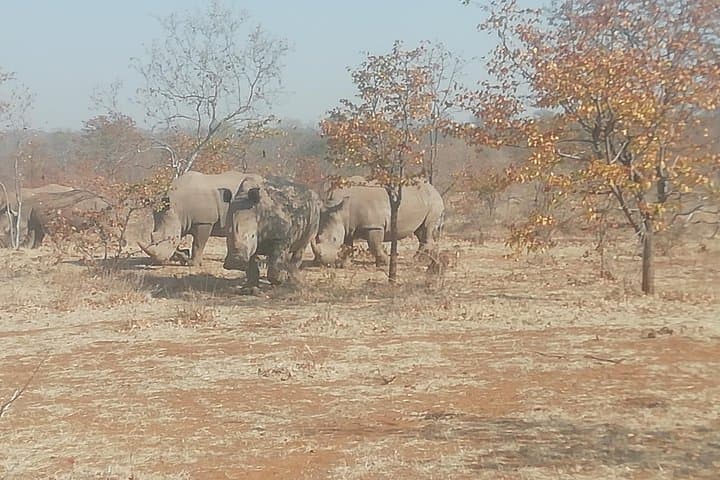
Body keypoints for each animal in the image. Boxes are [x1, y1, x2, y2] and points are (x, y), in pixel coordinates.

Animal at [312, 179, 445, 267]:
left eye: (334, 239)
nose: (322, 262)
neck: (340, 207)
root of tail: (434, 188)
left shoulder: (374, 225)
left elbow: (374, 245)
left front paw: (384, 263)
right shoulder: (348, 225)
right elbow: (347, 245)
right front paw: (345, 265)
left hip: (434, 201)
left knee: (427, 227)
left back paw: (418, 260)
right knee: (420, 231)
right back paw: (421, 259)